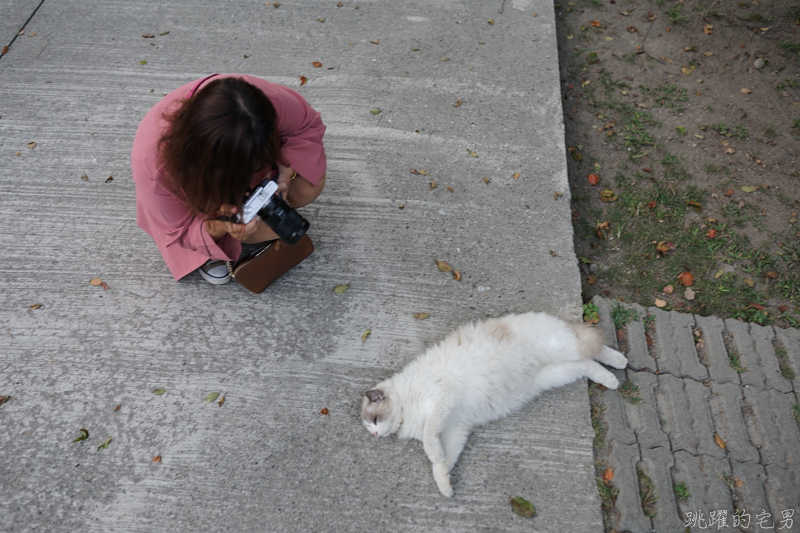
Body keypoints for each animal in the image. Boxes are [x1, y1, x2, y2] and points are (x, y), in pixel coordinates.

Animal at [360, 310, 628, 496]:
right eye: (370, 425)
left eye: (375, 420)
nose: (374, 434)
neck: (406, 403)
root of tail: (556, 319)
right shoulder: (454, 429)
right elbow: (443, 463)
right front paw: (445, 486)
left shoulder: (440, 403)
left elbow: (430, 442)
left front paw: (435, 457)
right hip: (556, 373)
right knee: (587, 364)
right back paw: (611, 377)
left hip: (563, 350)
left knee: (594, 347)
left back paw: (620, 361)